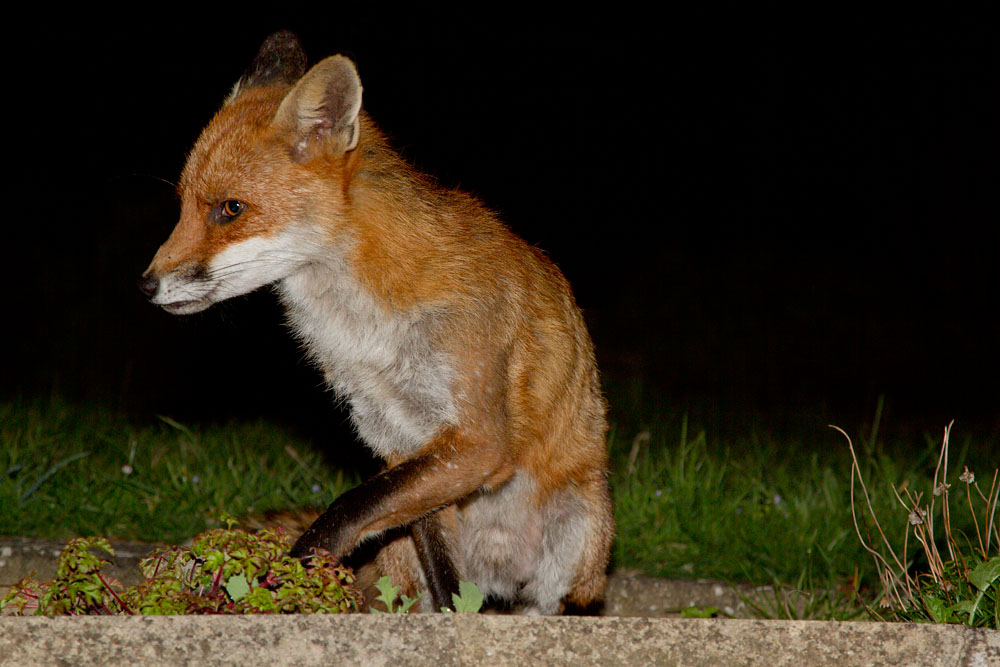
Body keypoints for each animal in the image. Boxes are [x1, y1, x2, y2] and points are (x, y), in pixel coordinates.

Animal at [139, 31, 613, 614]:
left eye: (230, 209)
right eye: (182, 206)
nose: (146, 285)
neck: (363, 330)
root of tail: (501, 578)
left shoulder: (475, 440)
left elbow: (344, 511)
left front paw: (284, 578)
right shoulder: (402, 441)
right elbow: (444, 583)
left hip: (576, 535)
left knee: (545, 604)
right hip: (405, 553)